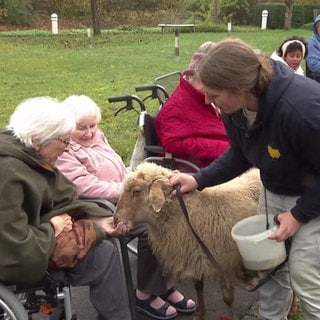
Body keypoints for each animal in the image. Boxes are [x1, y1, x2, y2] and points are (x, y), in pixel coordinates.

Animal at [115, 162, 262, 320]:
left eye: (136, 191)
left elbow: (228, 299)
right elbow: (198, 289)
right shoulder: (196, 259)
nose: (115, 219)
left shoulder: (226, 264)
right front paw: (200, 314)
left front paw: (233, 317)